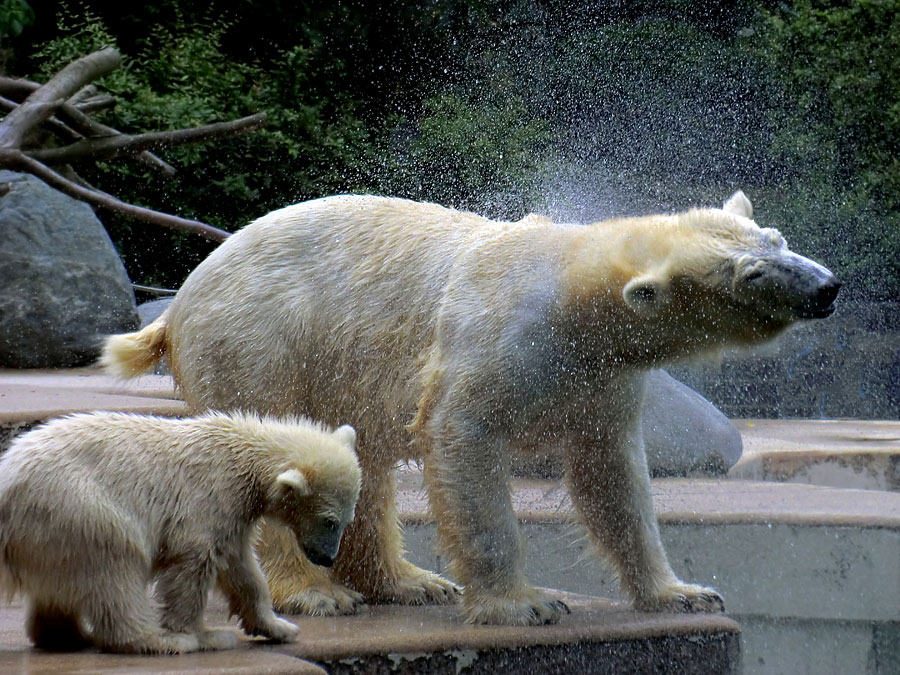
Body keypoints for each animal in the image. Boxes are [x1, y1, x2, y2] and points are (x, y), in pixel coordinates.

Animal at [103, 189, 836, 624]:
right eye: (752, 274)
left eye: (774, 236)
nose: (827, 287)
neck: (570, 290)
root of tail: (179, 301)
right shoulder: (494, 342)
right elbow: (466, 442)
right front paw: (524, 604)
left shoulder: (603, 377)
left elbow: (611, 475)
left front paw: (681, 592)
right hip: (262, 341)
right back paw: (317, 591)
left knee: (362, 464)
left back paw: (411, 582)